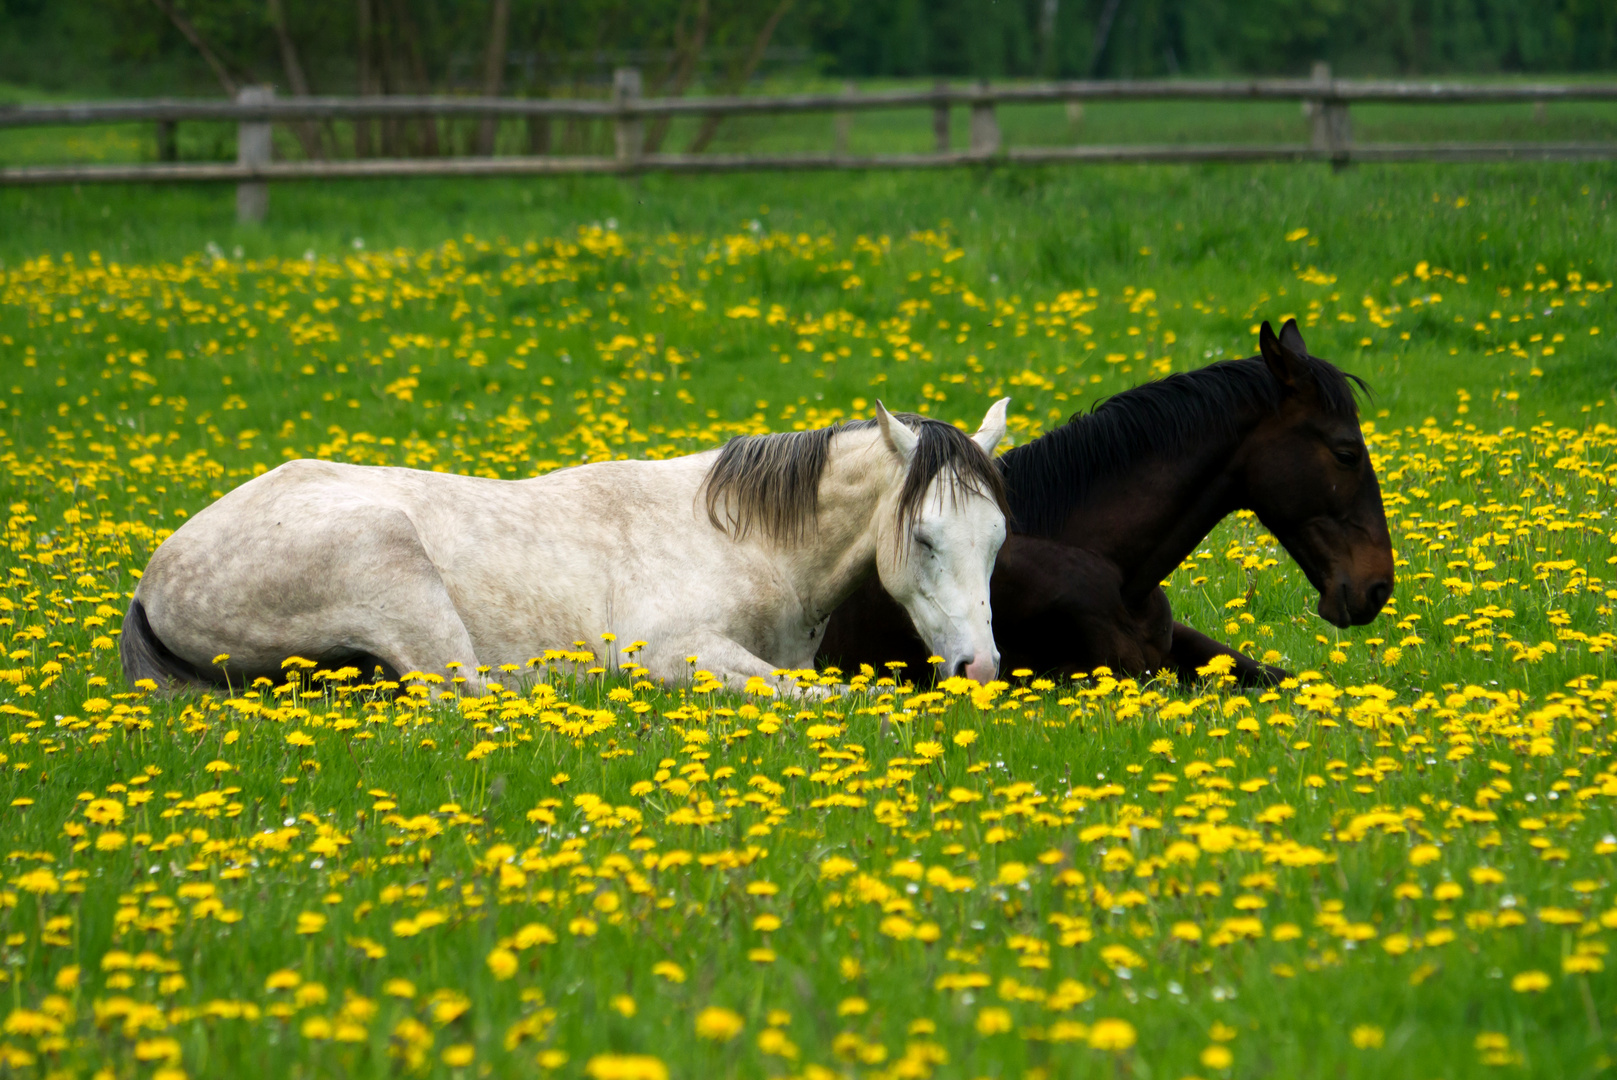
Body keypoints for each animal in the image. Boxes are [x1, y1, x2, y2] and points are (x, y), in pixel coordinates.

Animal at [122, 400, 1009, 695]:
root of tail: (157, 575)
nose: (979, 669)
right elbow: (829, 698)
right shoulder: (674, 652)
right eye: (924, 537)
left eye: (997, 540)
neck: (743, 541)